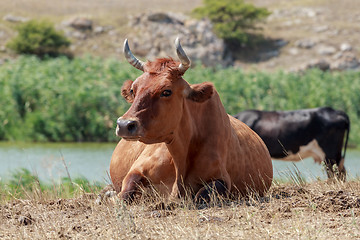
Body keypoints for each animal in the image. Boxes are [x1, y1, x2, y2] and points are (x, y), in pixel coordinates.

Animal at [109, 38, 272, 203]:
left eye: (166, 91)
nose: (124, 125)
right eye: (133, 90)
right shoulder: (137, 169)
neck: (180, 162)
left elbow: (203, 194)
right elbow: (126, 191)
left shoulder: (222, 179)